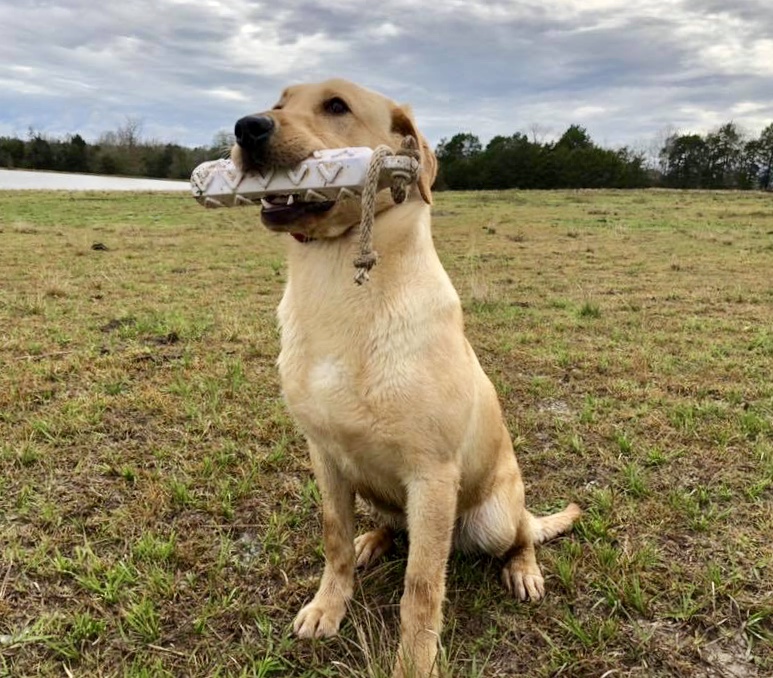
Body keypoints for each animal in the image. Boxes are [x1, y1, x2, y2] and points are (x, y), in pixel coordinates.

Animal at [232, 78, 584, 676]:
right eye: (278, 102)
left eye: (336, 106)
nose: (246, 128)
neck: (339, 287)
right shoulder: (324, 455)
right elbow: (334, 539)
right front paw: (328, 606)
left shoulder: (432, 475)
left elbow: (421, 586)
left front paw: (414, 662)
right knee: (389, 527)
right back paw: (374, 540)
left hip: (493, 515)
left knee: (519, 534)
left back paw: (523, 569)